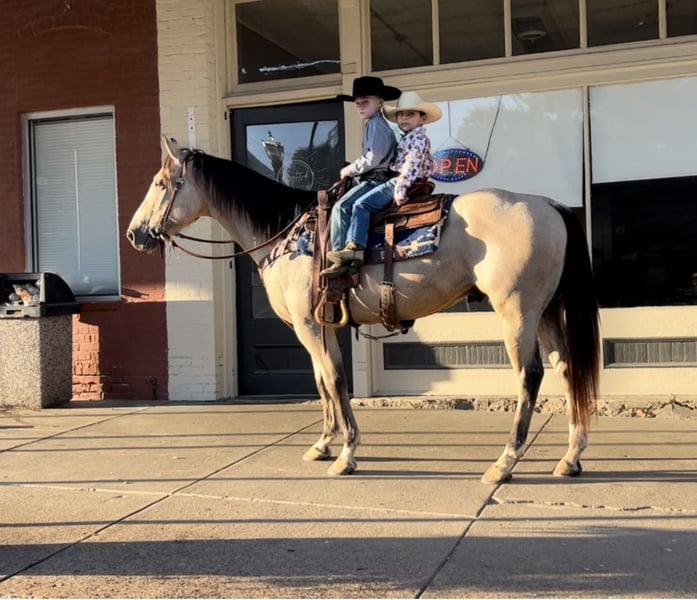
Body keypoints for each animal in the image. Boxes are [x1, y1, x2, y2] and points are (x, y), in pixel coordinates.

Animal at [127, 136, 600, 485]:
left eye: (160, 183)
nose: (134, 234)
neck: (289, 232)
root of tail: (548, 205)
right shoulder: (317, 327)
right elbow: (322, 383)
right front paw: (323, 444)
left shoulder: (309, 326)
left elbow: (335, 381)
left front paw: (347, 453)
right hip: (545, 312)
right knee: (565, 369)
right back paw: (570, 457)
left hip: (517, 312)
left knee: (530, 376)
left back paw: (504, 463)